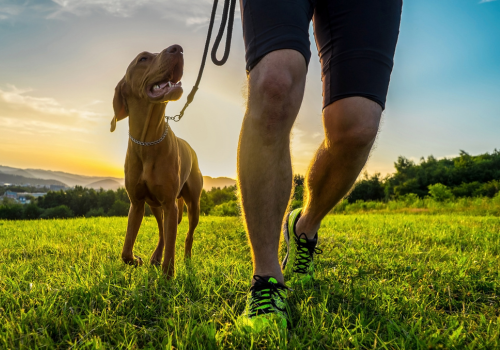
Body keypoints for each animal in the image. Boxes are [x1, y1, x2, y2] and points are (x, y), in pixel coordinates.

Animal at [110, 45, 202, 278]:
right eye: (143, 59)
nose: (178, 49)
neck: (147, 141)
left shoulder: (170, 203)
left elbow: (172, 247)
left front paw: (168, 276)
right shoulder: (137, 203)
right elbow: (125, 251)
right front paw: (136, 260)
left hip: (192, 204)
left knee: (187, 235)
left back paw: (186, 259)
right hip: (155, 206)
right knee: (162, 232)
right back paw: (155, 257)